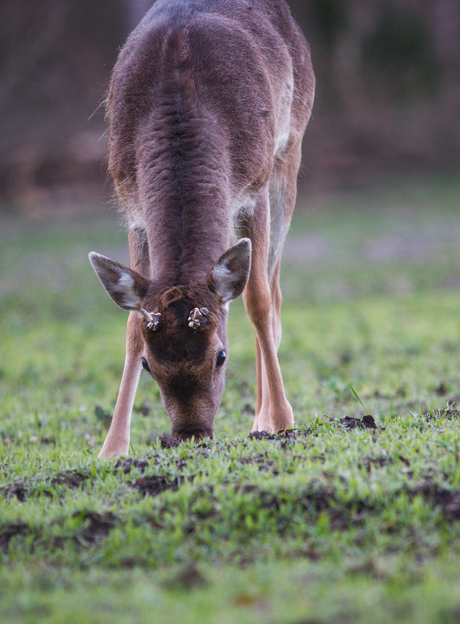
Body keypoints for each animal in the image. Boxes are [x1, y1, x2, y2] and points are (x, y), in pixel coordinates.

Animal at [88, 0, 314, 458]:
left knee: (274, 295)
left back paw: (262, 420)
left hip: (289, 154)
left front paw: (283, 422)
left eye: (221, 356)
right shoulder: (132, 205)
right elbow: (130, 326)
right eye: (149, 365)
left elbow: (258, 303)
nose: (191, 433)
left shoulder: (254, 185)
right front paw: (112, 447)